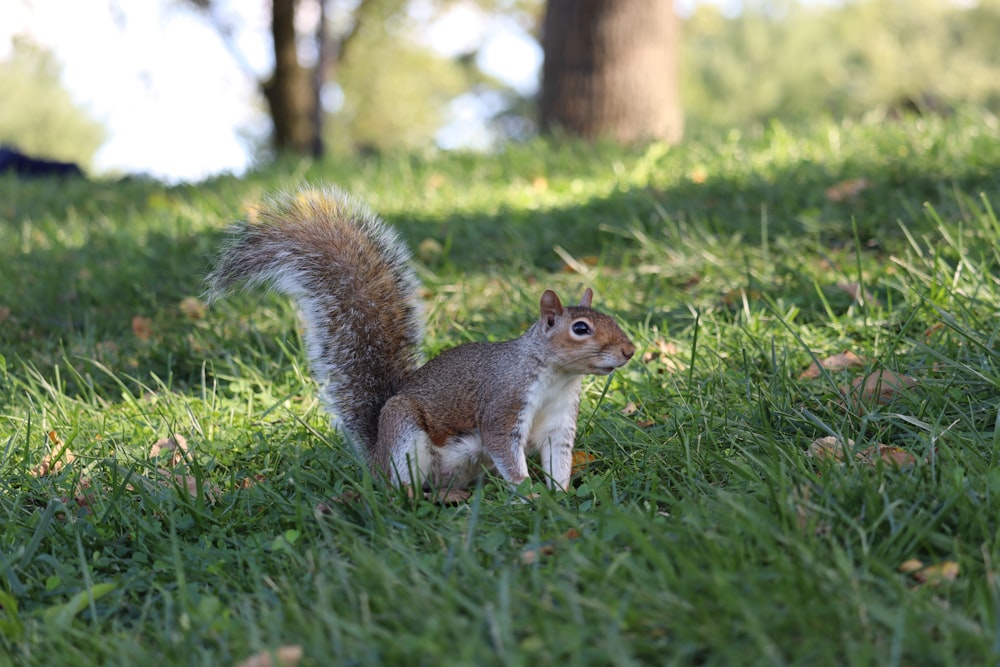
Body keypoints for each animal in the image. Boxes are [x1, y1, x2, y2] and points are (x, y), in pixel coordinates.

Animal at [207, 187, 636, 496]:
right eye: (580, 328)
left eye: (613, 319)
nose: (630, 350)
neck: (556, 378)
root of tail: (376, 457)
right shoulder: (503, 405)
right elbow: (507, 454)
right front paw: (530, 495)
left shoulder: (559, 424)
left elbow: (558, 462)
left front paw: (560, 497)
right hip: (404, 437)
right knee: (406, 490)